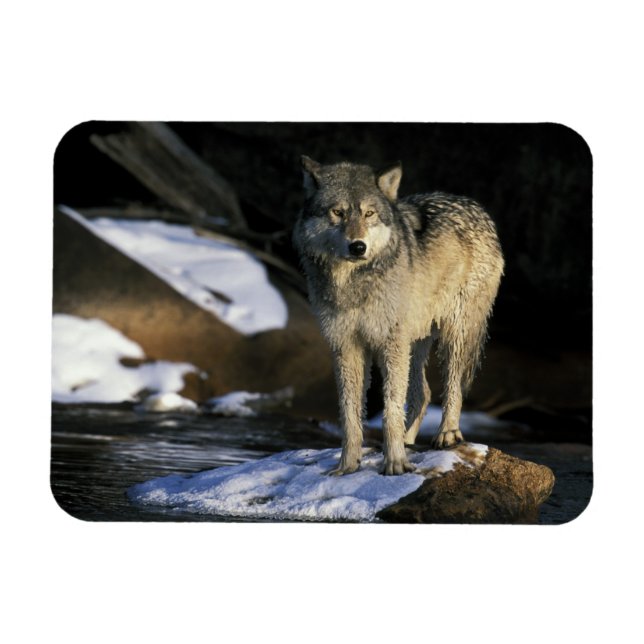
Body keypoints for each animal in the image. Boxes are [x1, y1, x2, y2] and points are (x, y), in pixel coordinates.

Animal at [293, 157, 504, 475]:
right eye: (338, 212)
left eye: (369, 213)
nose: (358, 246)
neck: (352, 284)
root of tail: (476, 207)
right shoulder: (346, 346)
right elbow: (350, 415)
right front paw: (348, 465)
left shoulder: (389, 343)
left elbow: (390, 409)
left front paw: (394, 463)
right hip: (414, 342)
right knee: (423, 393)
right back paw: (408, 441)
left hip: (452, 335)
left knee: (452, 387)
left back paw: (447, 434)